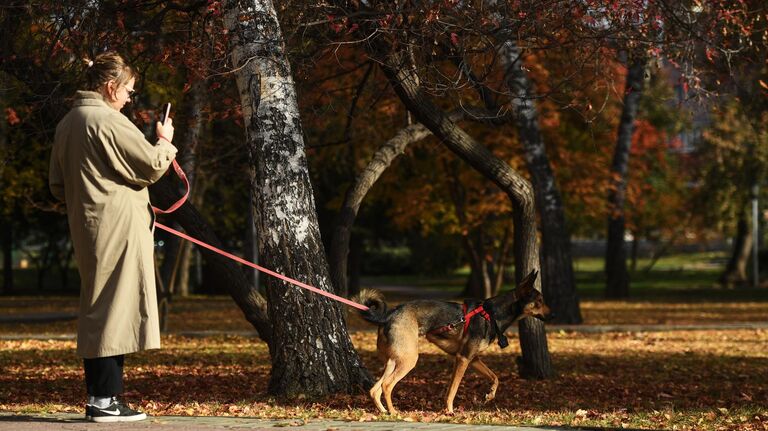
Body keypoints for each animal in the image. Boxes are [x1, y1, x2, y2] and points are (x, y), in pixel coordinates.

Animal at [356, 270, 548, 416]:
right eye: (539, 301)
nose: (552, 315)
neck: (492, 314)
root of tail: (388, 315)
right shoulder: (463, 358)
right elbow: (453, 390)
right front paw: (449, 410)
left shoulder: (473, 359)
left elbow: (495, 377)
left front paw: (489, 395)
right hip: (409, 360)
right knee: (387, 385)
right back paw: (394, 412)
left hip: (394, 360)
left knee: (375, 389)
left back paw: (383, 411)